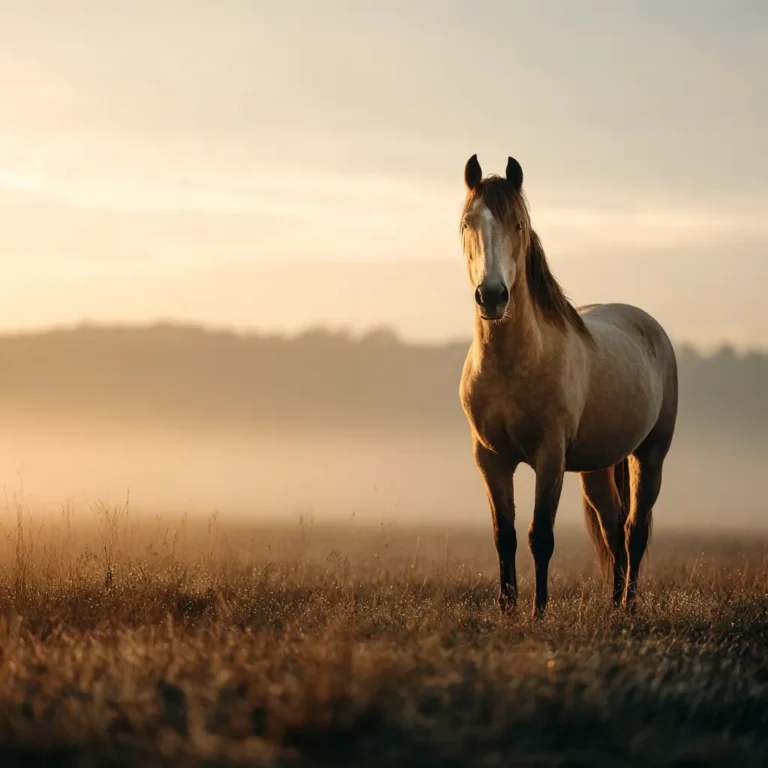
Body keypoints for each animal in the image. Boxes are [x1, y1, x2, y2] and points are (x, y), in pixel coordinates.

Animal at [458, 154, 678, 616]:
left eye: (519, 224)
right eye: (468, 223)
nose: (492, 296)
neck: (512, 365)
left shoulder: (550, 456)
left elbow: (540, 536)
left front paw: (539, 612)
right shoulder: (490, 459)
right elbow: (504, 536)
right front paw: (507, 610)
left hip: (650, 456)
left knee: (634, 531)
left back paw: (628, 607)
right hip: (596, 468)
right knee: (613, 528)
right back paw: (612, 606)